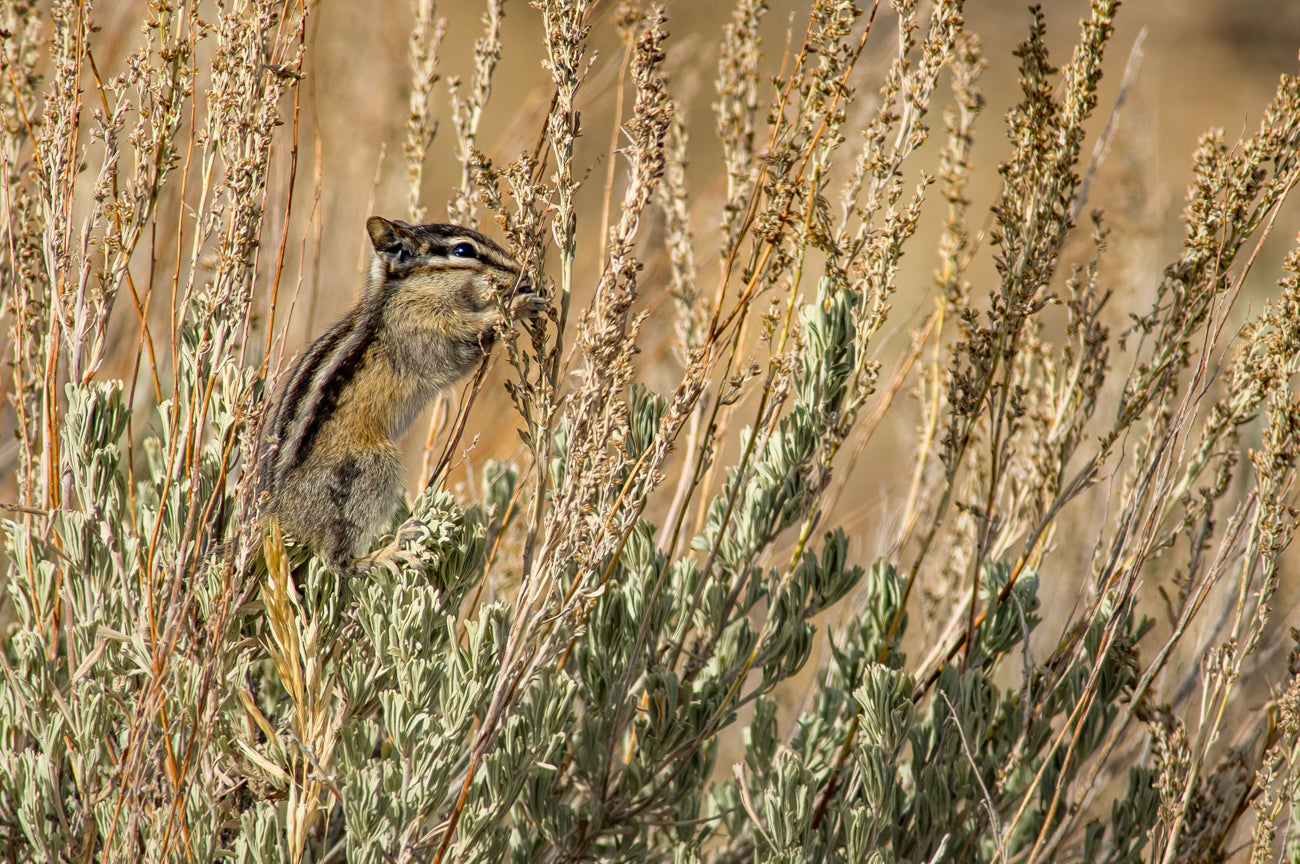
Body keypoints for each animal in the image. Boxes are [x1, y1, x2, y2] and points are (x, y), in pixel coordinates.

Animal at [257, 216, 545, 577]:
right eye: (463, 250)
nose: (523, 272)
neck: (406, 292)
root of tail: (277, 512)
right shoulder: (426, 331)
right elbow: (466, 343)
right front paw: (516, 304)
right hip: (369, 468)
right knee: (337, 560)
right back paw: (393, 549)